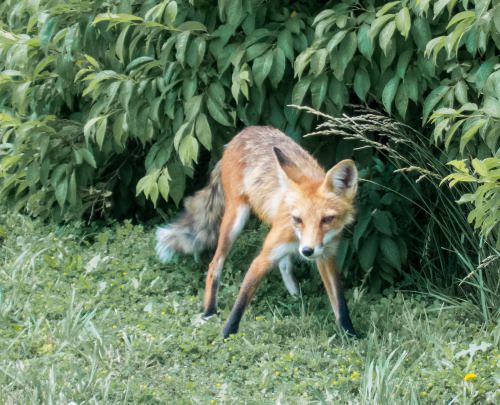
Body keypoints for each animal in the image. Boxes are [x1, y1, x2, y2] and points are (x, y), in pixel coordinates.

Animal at [156, 125, 356, 334]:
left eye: (327, 219)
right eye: (297, 219)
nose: (307, 251)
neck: (296, 236)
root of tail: (243, 133)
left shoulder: (326, 256)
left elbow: (340, 303)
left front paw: (350, 335)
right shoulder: (262, 259)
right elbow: (240, 303)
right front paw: (226, 336)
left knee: (284, 265)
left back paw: (296, 297)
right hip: (235, 219)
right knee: (214, 265)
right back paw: (209, 311)